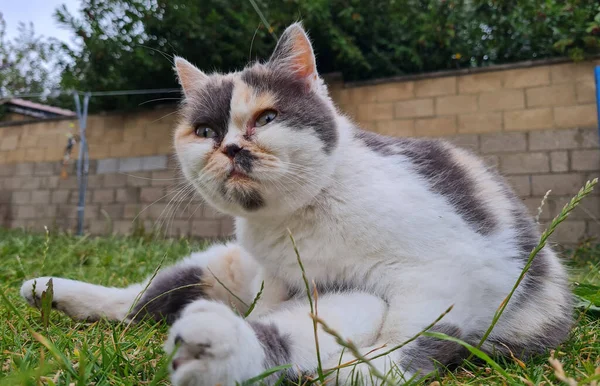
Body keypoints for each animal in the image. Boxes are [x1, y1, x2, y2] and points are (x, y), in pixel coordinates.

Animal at [18, 22, 572, 384]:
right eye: (205, 131)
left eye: (266, 118)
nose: (230, 147)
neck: (300, 219)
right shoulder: (282, 282)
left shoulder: (448, 275)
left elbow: (402, 345)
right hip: (218, 266)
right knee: (134, 301)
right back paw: (49, 290)